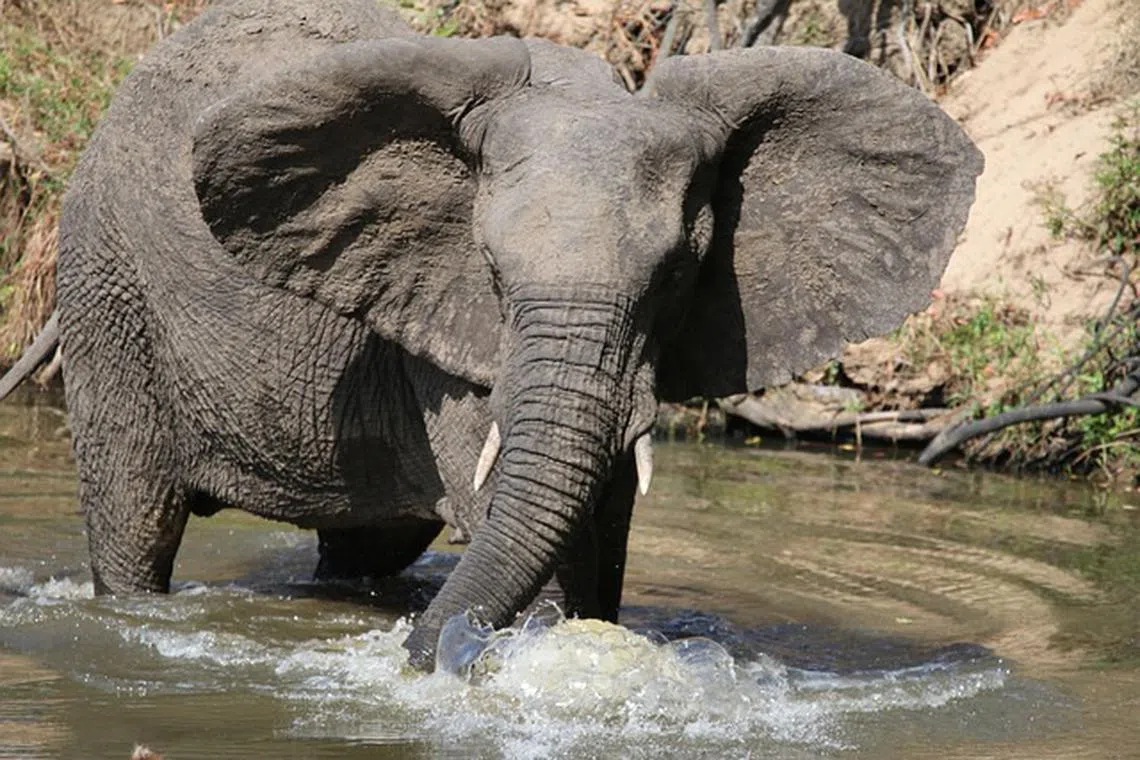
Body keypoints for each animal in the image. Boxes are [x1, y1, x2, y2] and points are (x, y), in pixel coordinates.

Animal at [0, 0, 981, 670]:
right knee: (136, 520)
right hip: (108, 287)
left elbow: (601, 532)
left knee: (367, 545)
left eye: (673, 278)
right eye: (496, 276)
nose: (422, 657)